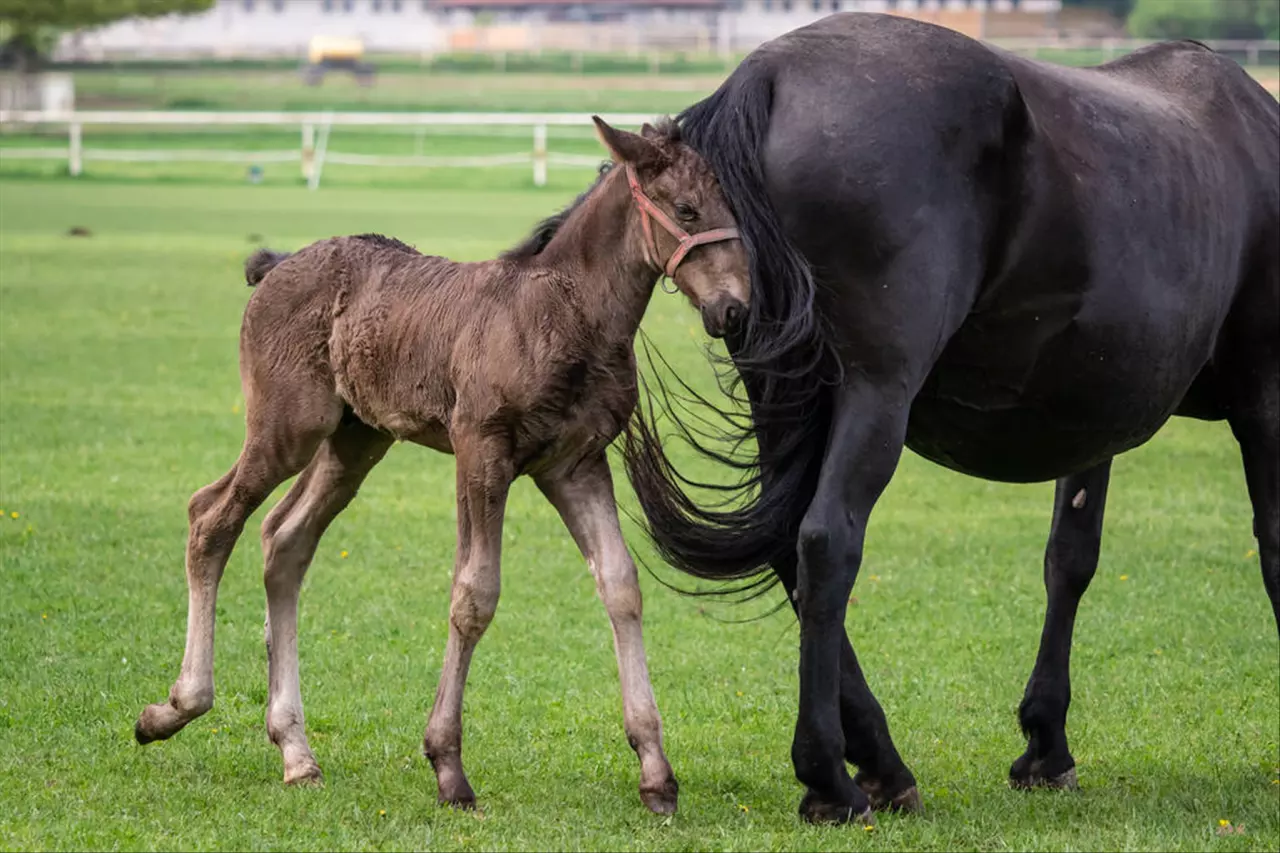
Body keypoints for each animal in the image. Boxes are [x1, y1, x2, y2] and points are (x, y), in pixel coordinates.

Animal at [132, 117, 747, 809]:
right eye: (686, 209)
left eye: (730, 205)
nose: (734, 308)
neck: (566, 316)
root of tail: (275, 266)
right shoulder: (480, 449)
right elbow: (474, 594)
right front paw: (448, 766)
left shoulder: (576, 463)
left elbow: (619, 584)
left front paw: (655, 770)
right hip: (287, 428)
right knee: (211, 516)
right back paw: (174, 708)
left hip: (355, 442)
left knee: (284, 539)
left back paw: (295, 750)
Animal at [622, 9, 1280, 824]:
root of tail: (769, 73)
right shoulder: (1267, 398)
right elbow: (1275, 551)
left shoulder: (1092, 417)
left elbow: (1070, 559)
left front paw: (1046, 743)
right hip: (876, 394)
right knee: (826, 543)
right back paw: (832, 776)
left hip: (783, 391)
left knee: (788, 547)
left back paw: (879, 760)